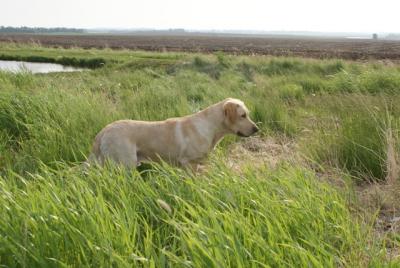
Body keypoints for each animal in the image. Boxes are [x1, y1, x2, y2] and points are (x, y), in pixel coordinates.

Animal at [87, 98, 258, 170]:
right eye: (243, 115)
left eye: (247, 114)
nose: (256, 129)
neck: (210, 127)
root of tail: (104, 130)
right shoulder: (188, 162)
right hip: (125, 164)